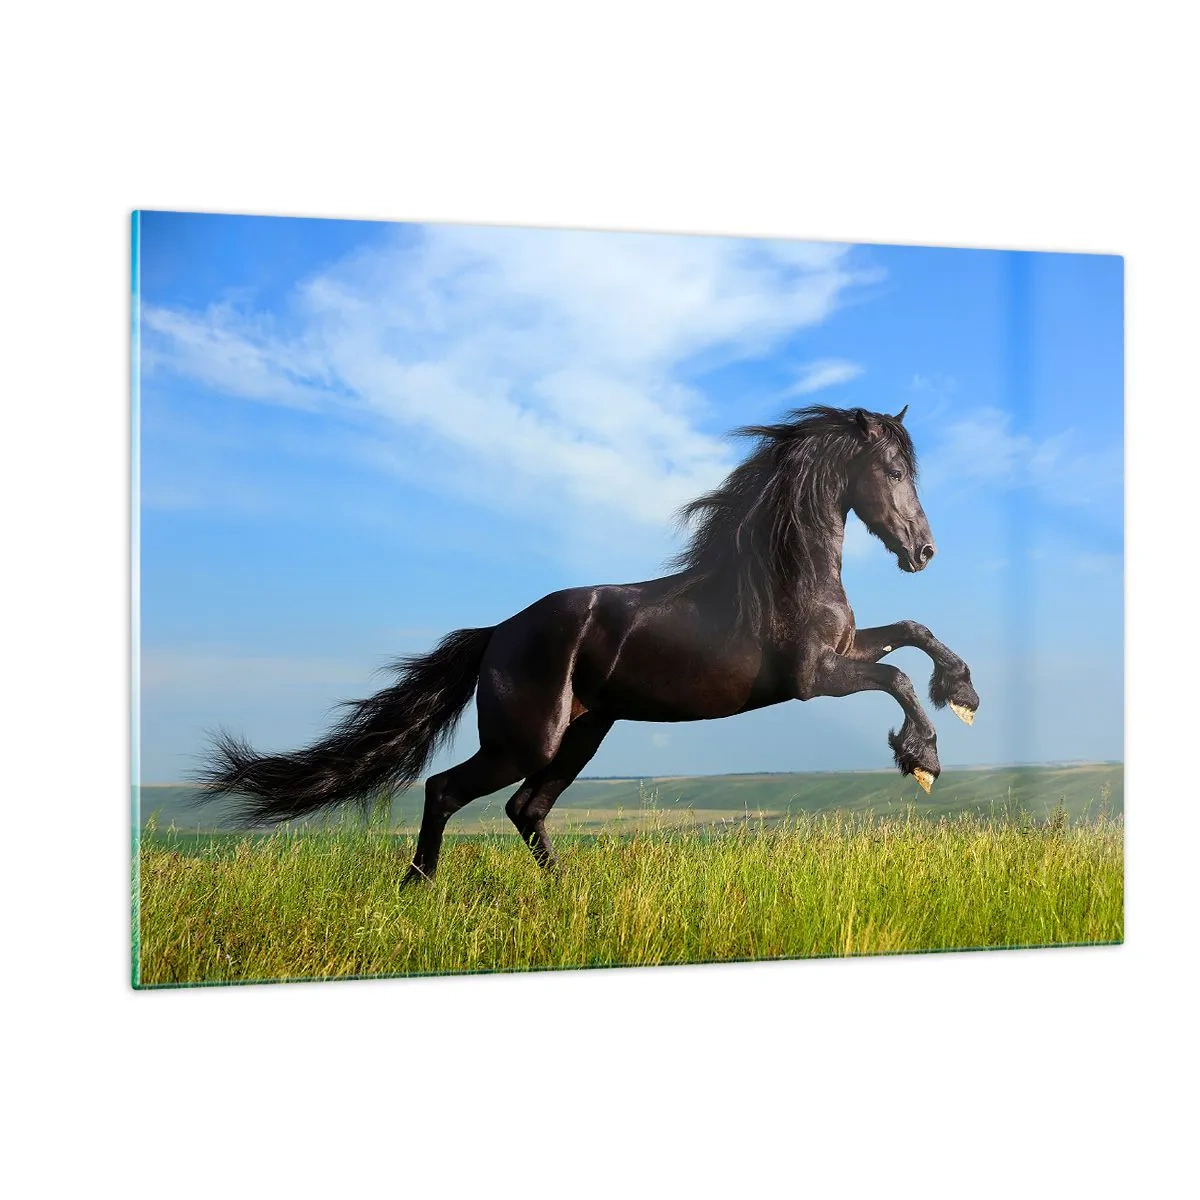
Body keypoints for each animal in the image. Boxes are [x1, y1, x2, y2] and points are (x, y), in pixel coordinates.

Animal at [199, 404, 980, 885]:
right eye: (893, 473)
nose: (924, 552)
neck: (785, 571)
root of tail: (496, 636)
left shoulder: (848, 648)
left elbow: (913, 634)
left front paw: (963, 692)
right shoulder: (814, 676)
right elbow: (897, 679)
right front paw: (924, 759)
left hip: (583, 732)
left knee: (526, 810)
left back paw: (565, 893)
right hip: (527, 740)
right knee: (447, 790)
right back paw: (416, 889)